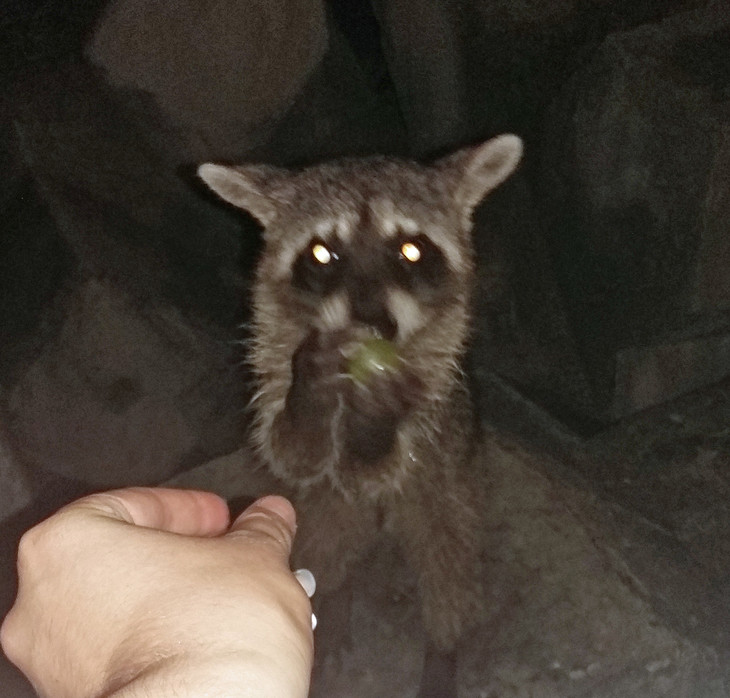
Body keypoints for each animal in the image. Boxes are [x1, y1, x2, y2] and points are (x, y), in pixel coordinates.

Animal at [196, 135, 520, 692]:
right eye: (323, 253)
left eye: (411, 249)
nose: (374, 323)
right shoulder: (273, 357)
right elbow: (291, 453)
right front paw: (308, 400)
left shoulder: (434, 396)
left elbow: (380, 464)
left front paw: (374, 423)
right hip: (325, 512)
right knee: (324, 548)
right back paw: (329, 603)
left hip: (451, 484)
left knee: (450, 558)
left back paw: (443, 646)